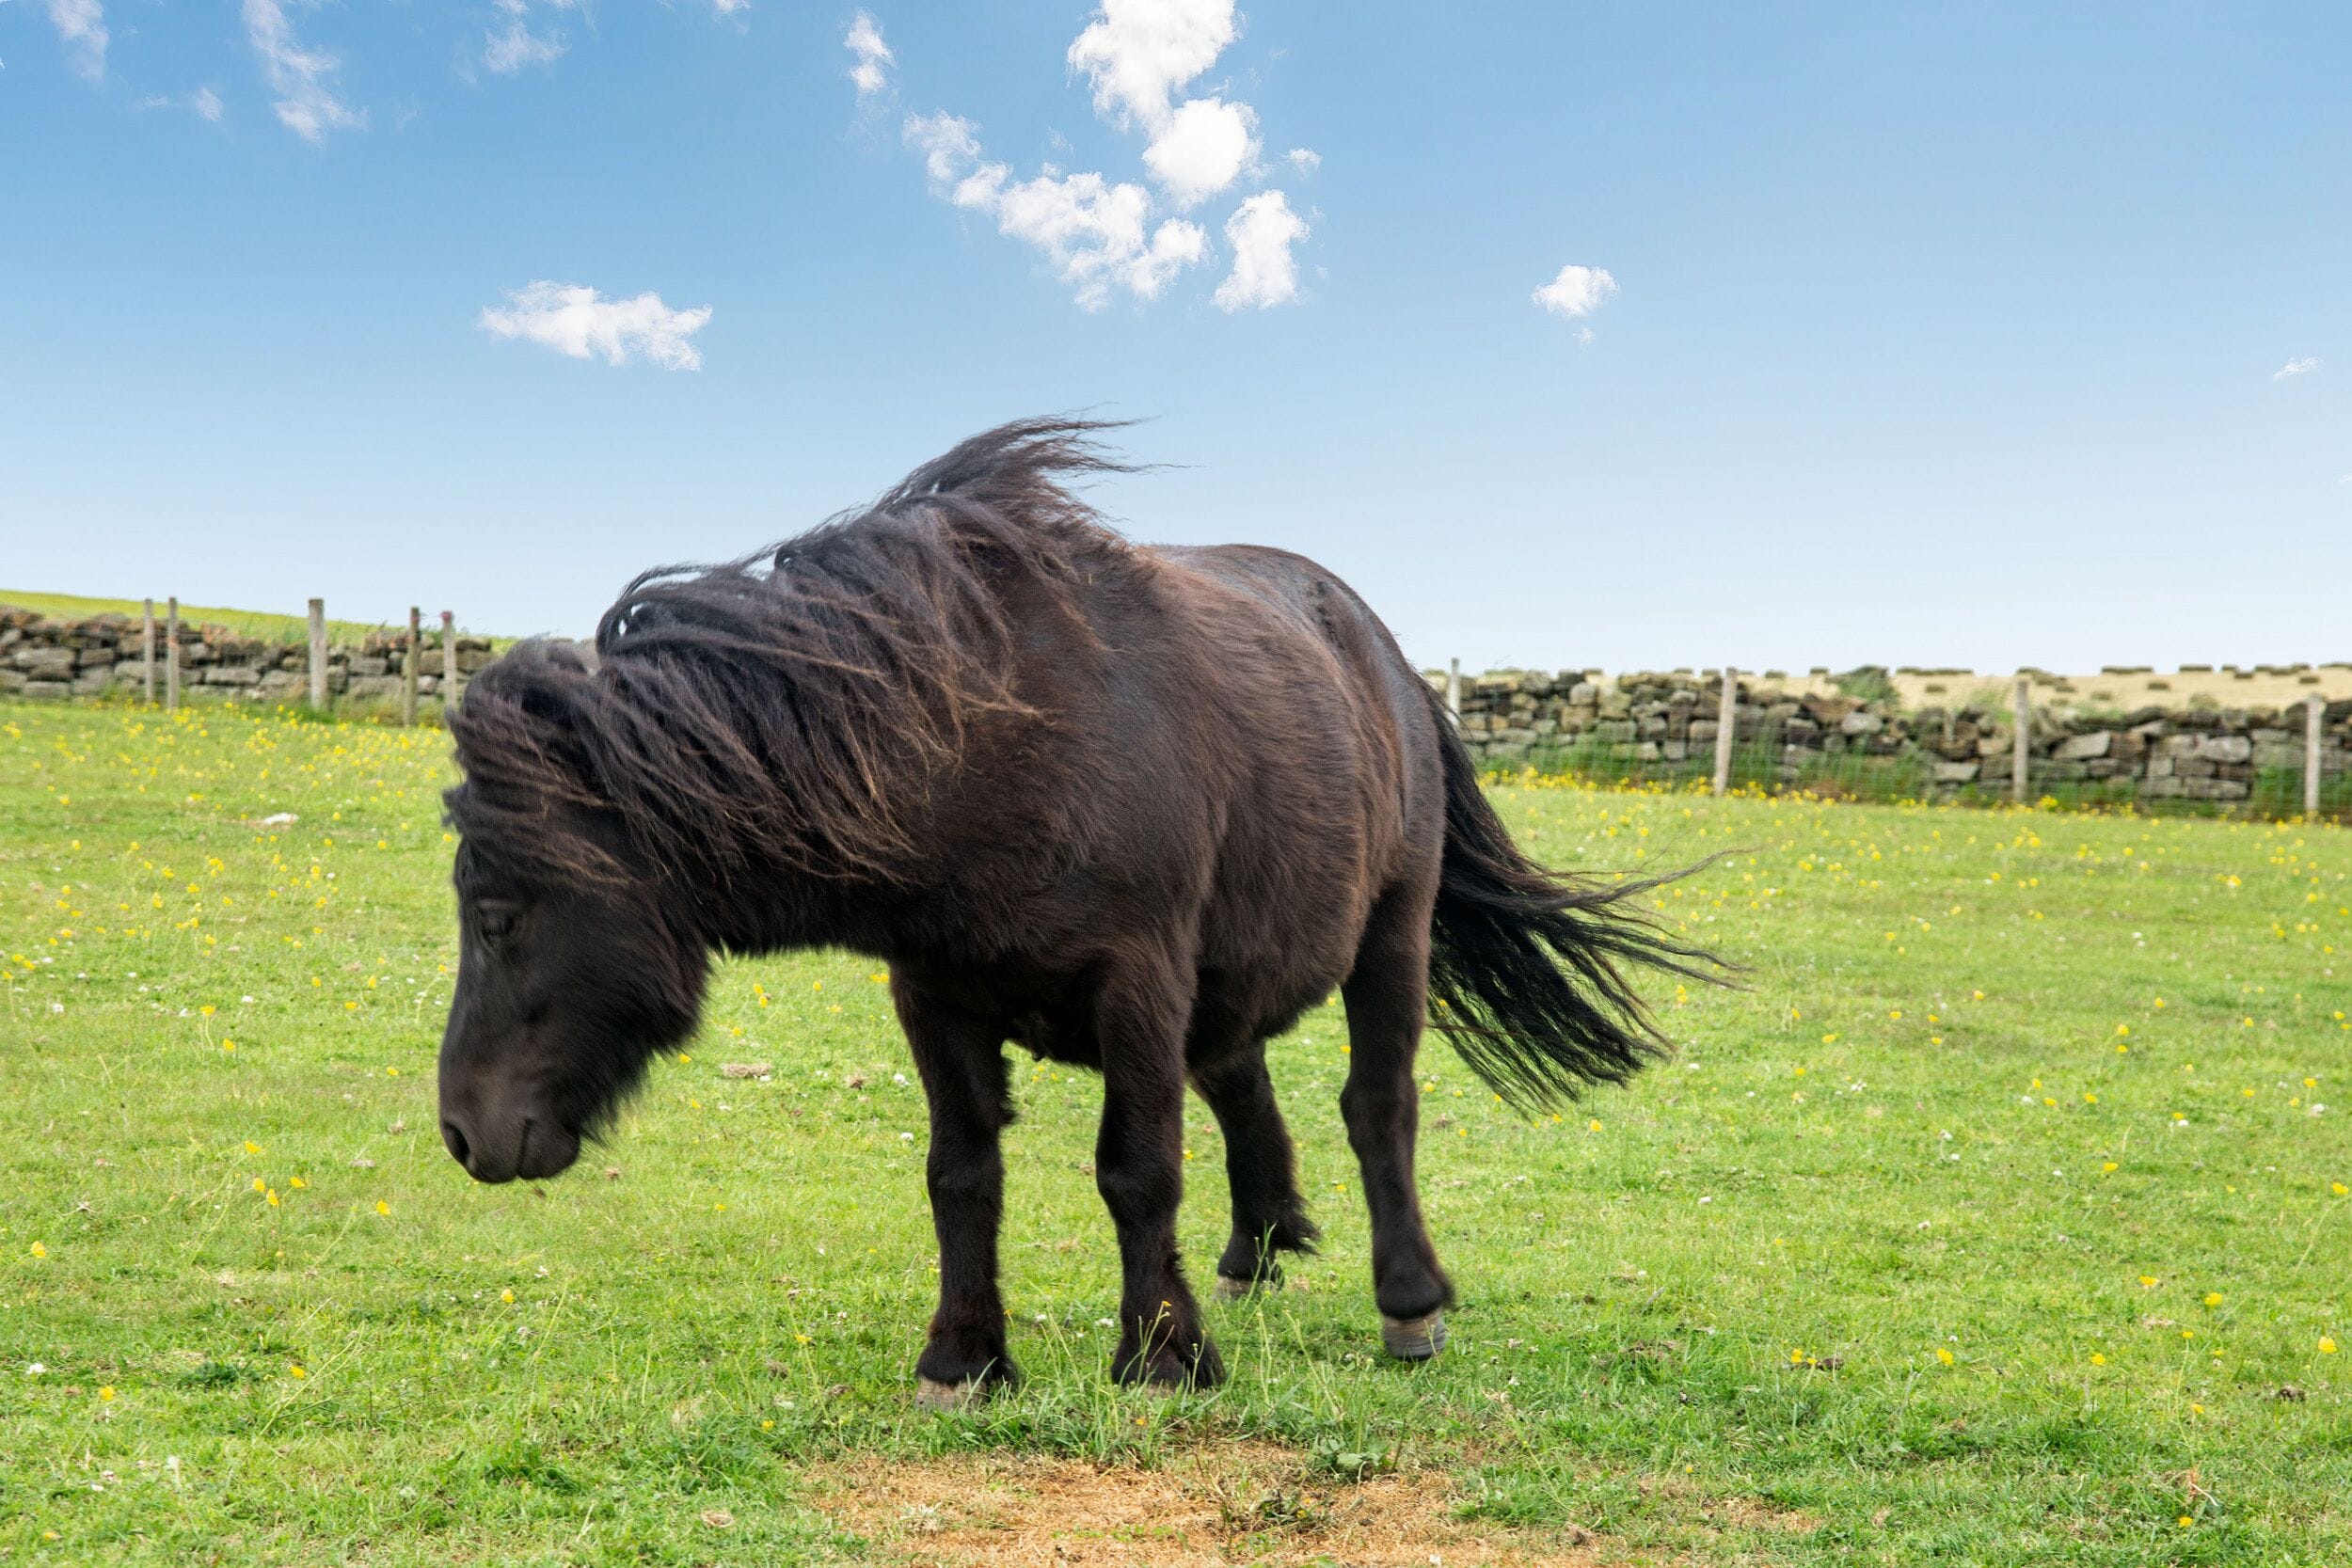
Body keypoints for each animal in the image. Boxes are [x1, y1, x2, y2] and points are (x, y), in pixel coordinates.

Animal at [435, 418, 1723, 1404]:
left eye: (497, 913)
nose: (460, 1132)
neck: (987, 746)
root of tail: (1385, 655)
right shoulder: (934, 992)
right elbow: (961, 1174)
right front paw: (963, 1358)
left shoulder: (1136, 980)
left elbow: (1136, 1168)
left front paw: (1160, 1355)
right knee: (1245, 1083)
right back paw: (1254, 1251)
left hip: (1388, 932)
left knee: (1377, 1105)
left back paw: (1405, 1302)